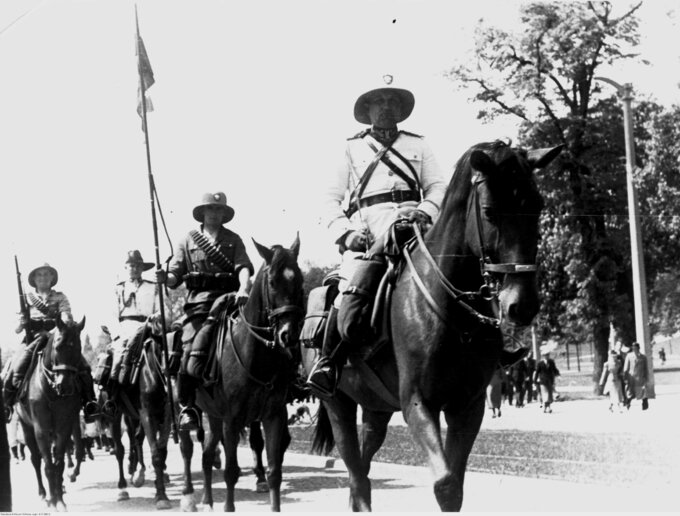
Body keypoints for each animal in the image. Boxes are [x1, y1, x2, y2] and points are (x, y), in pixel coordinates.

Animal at [16, 316, 86, 510]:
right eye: (58, 346)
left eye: (78, 348)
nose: (65, 385)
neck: (51, 390)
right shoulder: (41, 430)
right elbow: (47, 465)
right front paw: (53, 500)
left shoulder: (63, 428)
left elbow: (59, 463)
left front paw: (60, 500)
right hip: (26, 428)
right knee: (36, 460)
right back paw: (43, 493)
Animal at [177, 237, 304, 512]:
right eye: (272, 282)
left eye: (299, 279)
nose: (288, 335)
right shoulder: (233, 419)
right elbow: (231, 472)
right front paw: (228, 507)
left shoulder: (273, 416)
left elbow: (274, 471)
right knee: (189, 448)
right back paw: (190, 494)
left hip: (214, 416)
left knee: (206, 456)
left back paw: (207, 500)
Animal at [302, 139, 564, 510]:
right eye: (489, 212)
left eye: (537, 207)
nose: (522, 304)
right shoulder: (418, 403)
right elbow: (445, 483)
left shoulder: (467, 406)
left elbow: (455, 486)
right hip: (338, 405)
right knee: (356, 473)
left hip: (376, 408)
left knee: (362, 471)